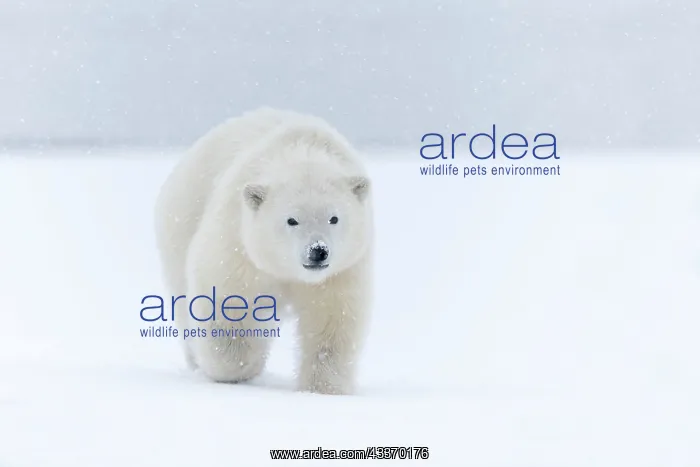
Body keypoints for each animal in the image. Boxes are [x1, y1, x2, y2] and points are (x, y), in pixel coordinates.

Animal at [153, 107, 374, 395]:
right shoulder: (238, 243)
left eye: (334, 218)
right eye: (292, 220)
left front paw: (322, 387)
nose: (318, 251)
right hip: (181, 222)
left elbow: (333, 317)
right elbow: (226, 299)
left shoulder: (342, 270)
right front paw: (240, 368)